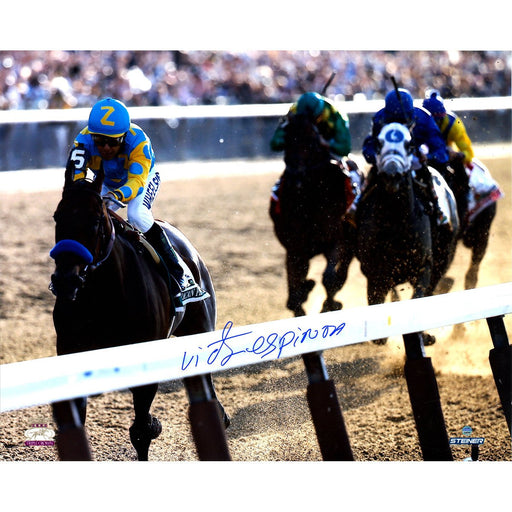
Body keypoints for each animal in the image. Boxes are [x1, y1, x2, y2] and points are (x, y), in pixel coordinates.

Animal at [48, 164, 228, 460]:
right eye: (56, 217)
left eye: (95, 220)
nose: (65, 280)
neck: (104, 296)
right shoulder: (70, 350)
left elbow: (142, 431)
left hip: (200, 325)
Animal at [268, 113, 360, 316]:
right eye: (286, 140)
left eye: (311, 141)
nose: (294, 176)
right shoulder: (295, 248)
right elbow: (294, 294)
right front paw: (305, 291)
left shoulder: (336, 240)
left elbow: (329, 278)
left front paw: (330, 304)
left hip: (350, 245)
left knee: (342, 272)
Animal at [356, 121, 460, 342]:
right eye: (379, 143)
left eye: (409, 144)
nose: (391, 174)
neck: (396, 226)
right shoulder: (375, 272)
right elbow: (376, 299)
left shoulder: (424, 267)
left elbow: (420, 296)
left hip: (444, 257)